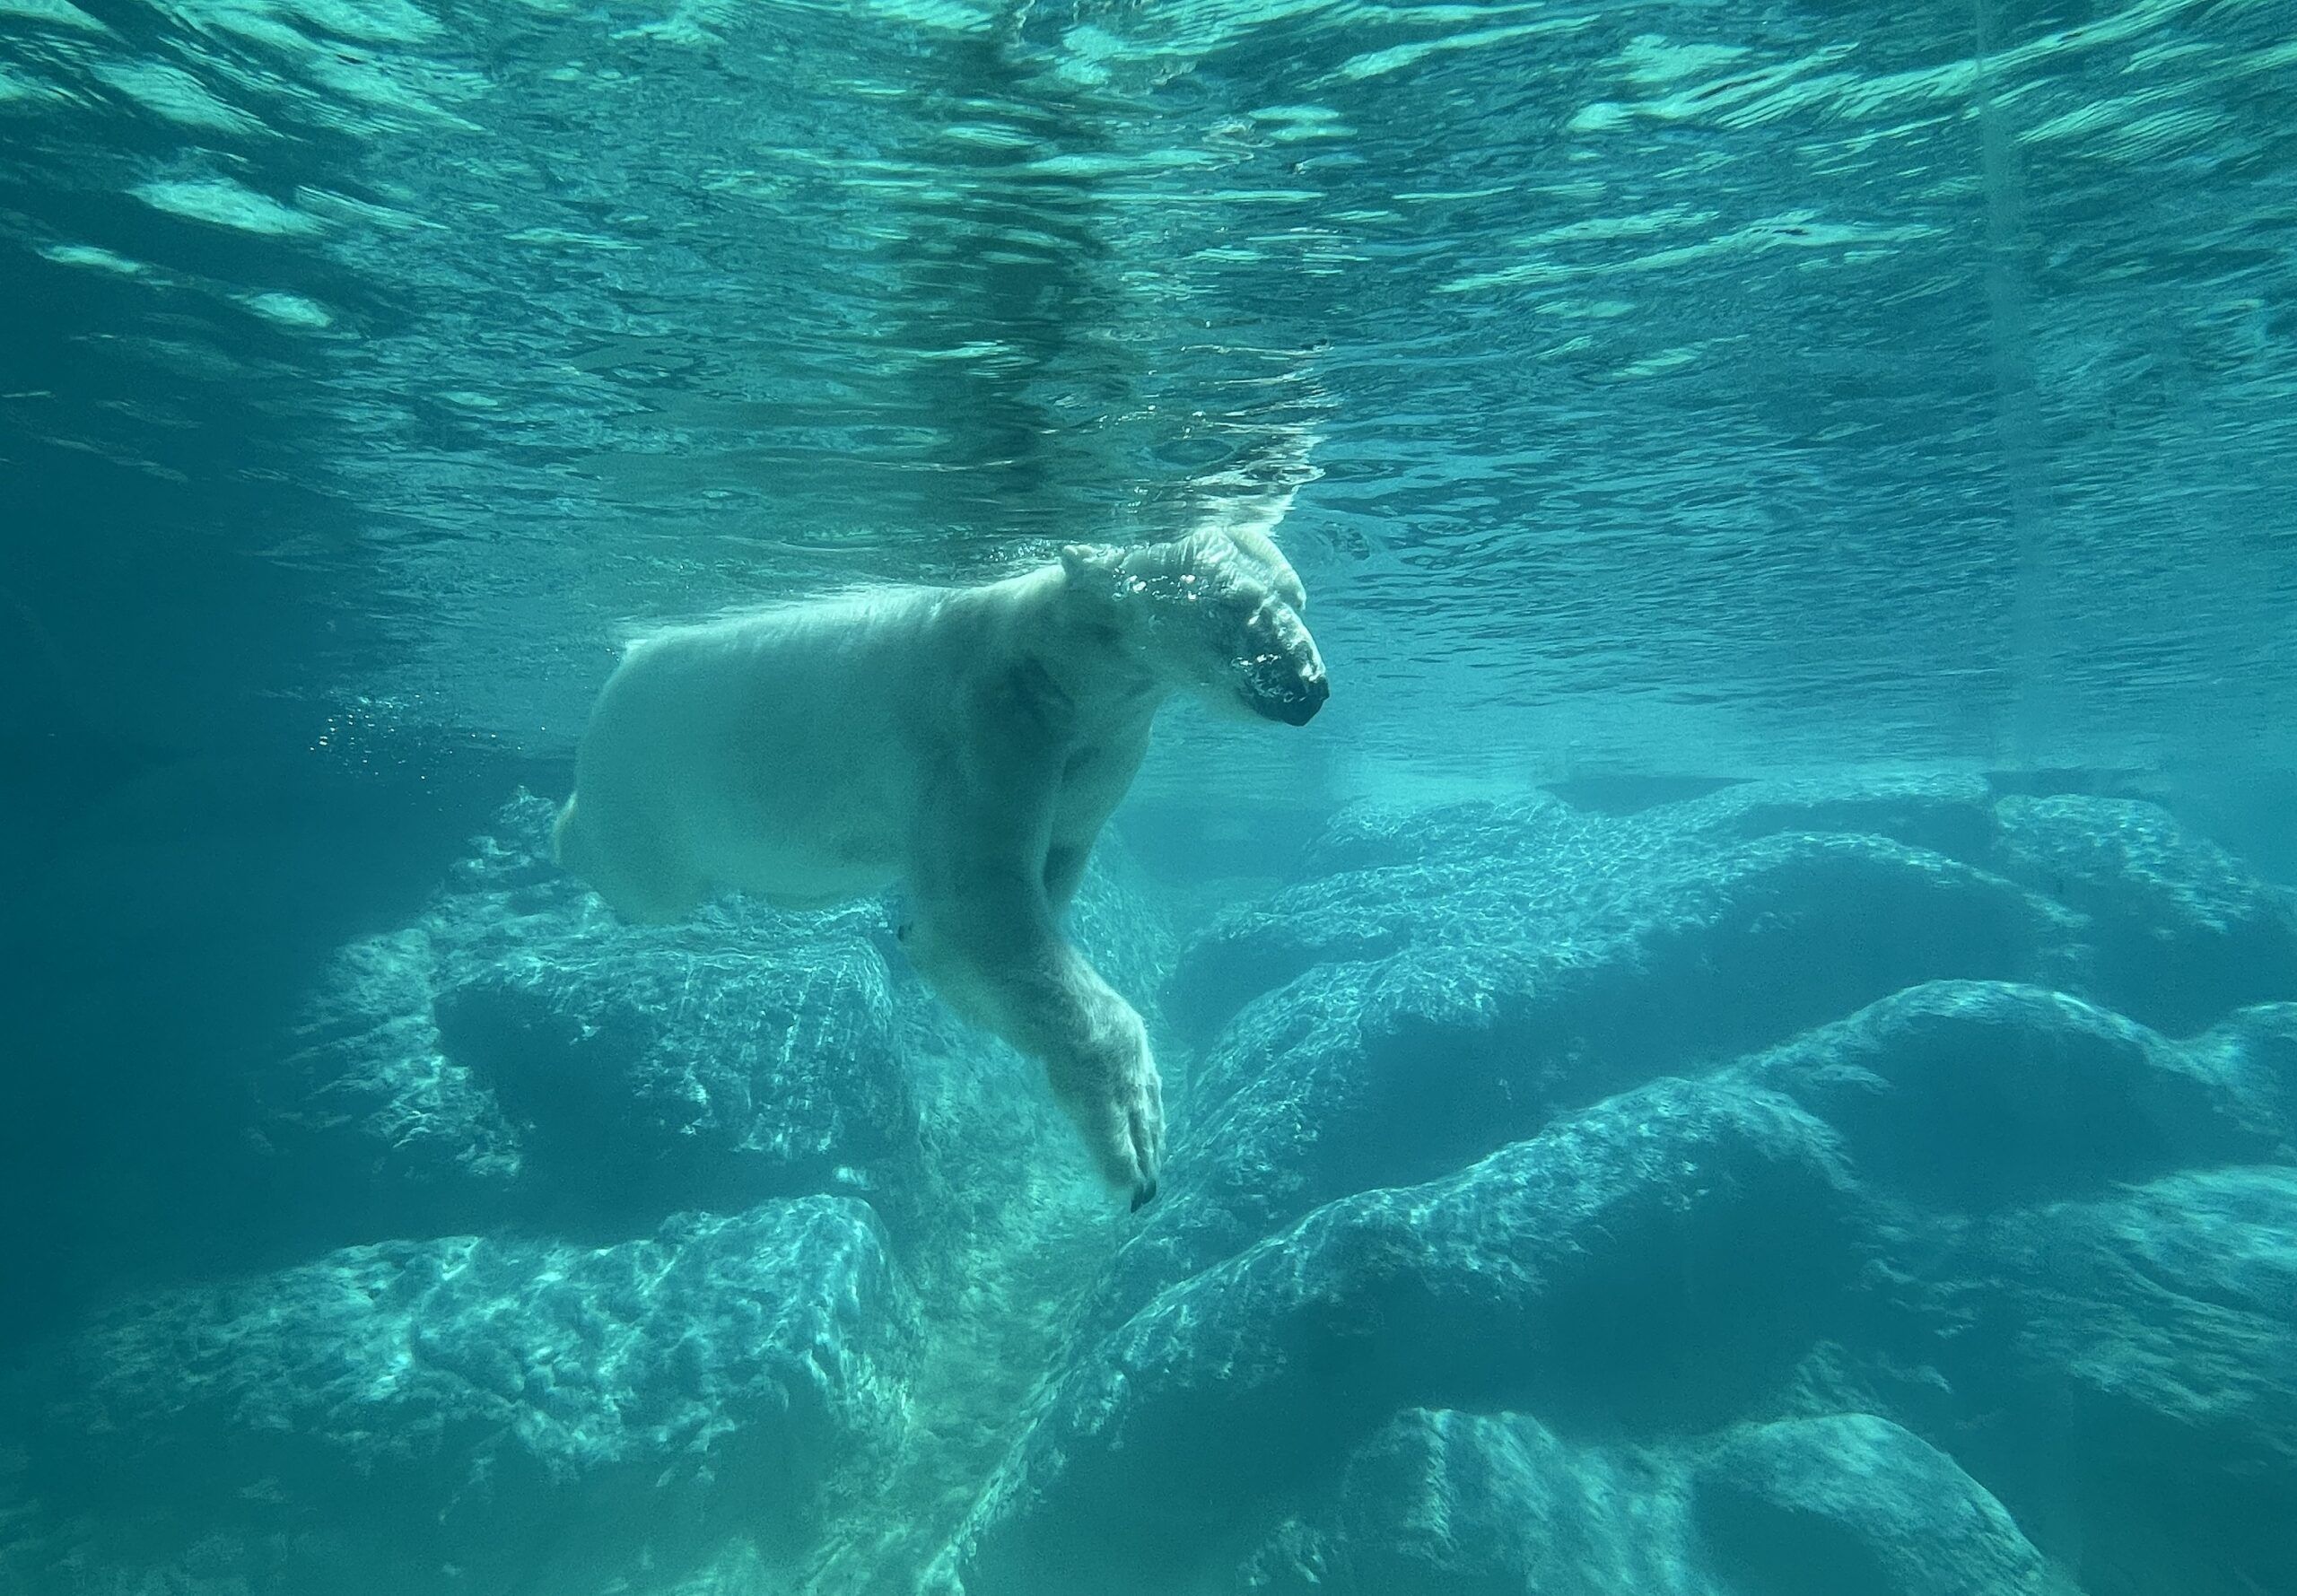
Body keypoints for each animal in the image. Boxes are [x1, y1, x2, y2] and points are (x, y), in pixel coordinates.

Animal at [548, 528, 1332, 1212]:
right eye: (1232, 606)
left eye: (1296, 595)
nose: (1310, 685)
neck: (1055, 664)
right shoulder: (987, 731)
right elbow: (977, 913)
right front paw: (1135, 1137)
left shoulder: (1101, 754)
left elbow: (1016, 907)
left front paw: (920, 944)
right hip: (649, 783)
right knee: (639, 874)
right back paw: (564, 835)